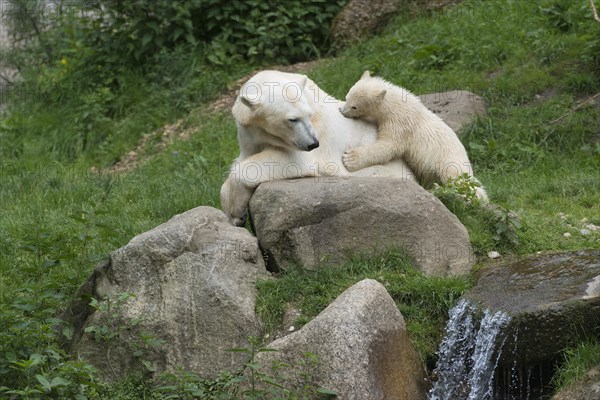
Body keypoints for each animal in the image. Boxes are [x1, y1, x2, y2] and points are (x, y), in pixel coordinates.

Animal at [219, 69, 412, 225]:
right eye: (293, 119)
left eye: (309, 115)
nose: (313, 143)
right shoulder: (247, 130)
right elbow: (243, 157)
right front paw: (237, 216)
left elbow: (291, 160)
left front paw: (235, 214)